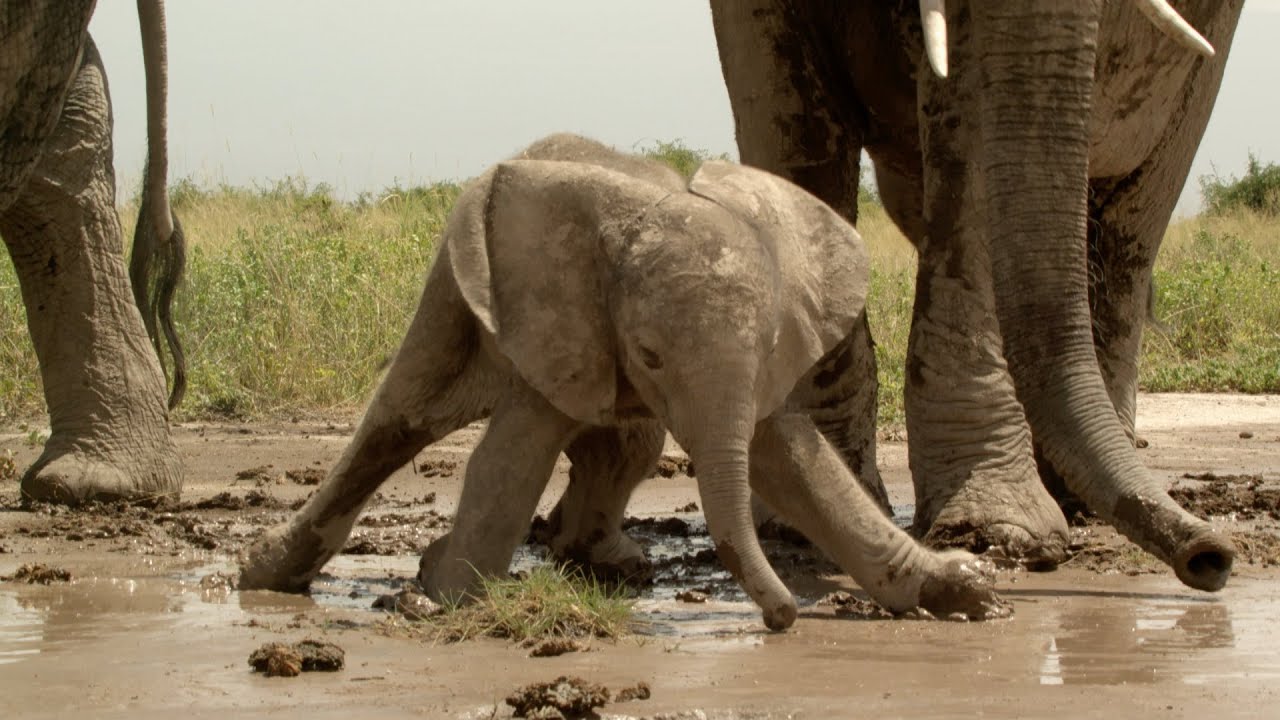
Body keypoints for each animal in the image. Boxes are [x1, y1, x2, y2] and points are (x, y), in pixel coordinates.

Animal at [239, 134, 1007, 630]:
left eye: (768, 349)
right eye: (650, 354)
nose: (786, 616)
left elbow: (793, 461)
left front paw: (964, 590)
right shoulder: (558, 320)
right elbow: (511, 459)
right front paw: (441, 597)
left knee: (629, 447)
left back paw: (603, 562)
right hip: (451, 295)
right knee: (398, 421)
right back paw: (268, 574)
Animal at [704, 0, 1241, 591]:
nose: (1211, 558)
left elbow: (971, 120)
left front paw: (995, 535)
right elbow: (787, 115)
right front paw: (803, 520)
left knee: (1135, 224)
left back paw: (1076, 500)